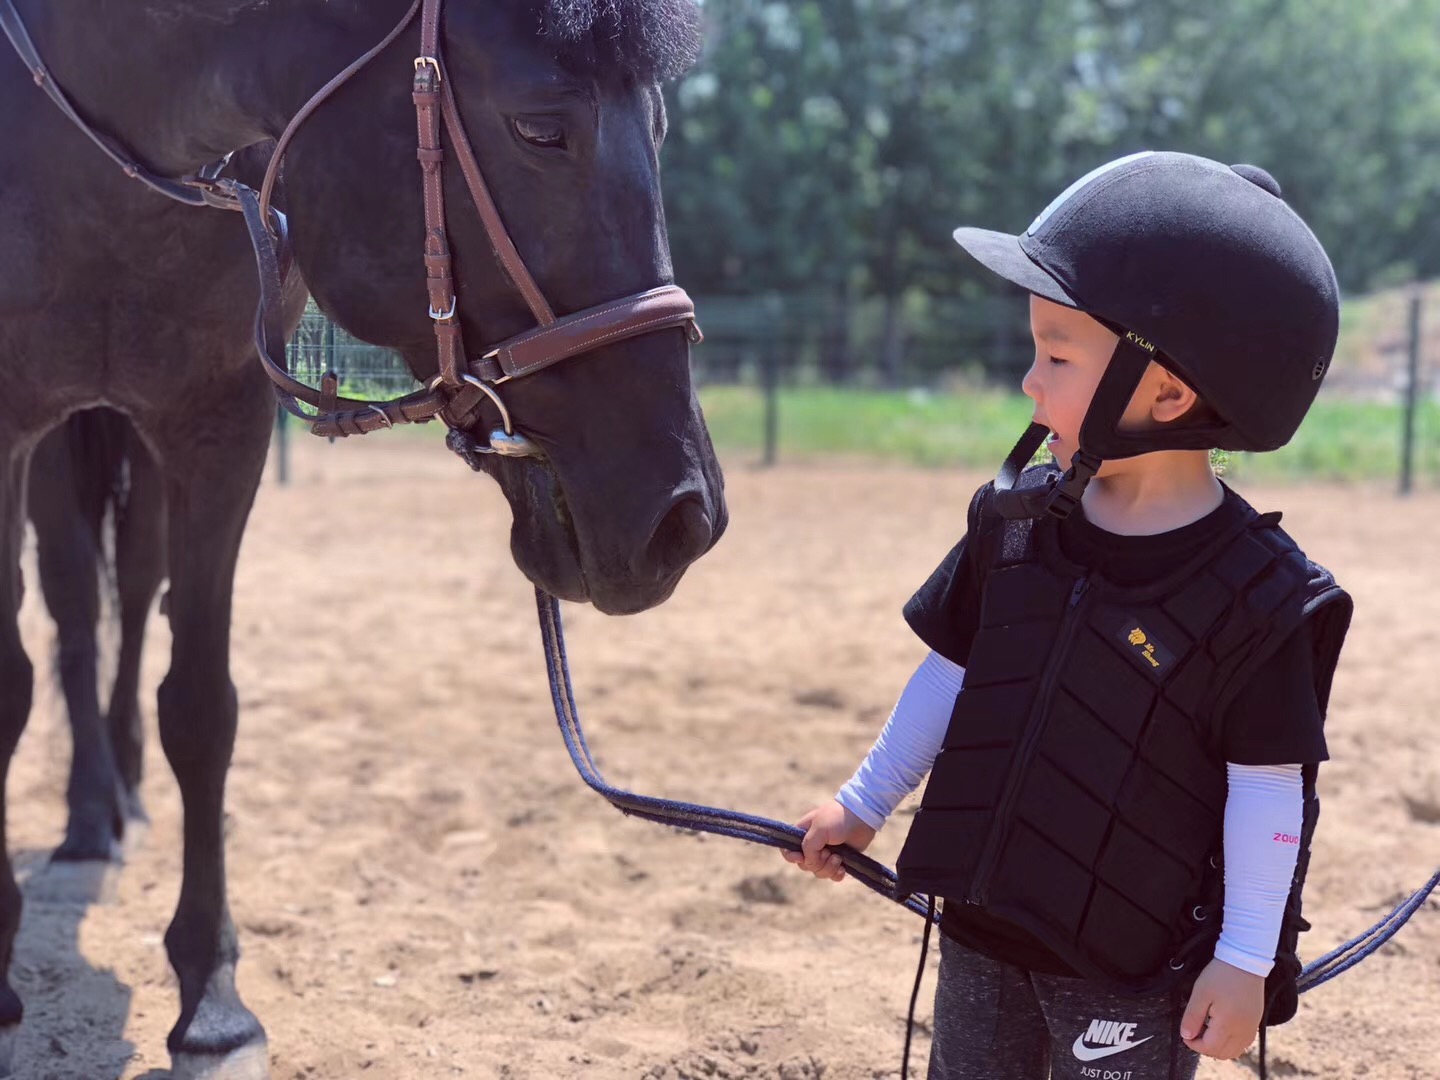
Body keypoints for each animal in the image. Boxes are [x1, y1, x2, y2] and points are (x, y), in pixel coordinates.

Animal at [0, 4, 720, 1077]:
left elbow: (200, 706)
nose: (684, 517)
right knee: (80, 611)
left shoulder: (218, 425)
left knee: (129, 596)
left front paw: (213, 1001)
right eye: (542, 129)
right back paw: (91, 815)